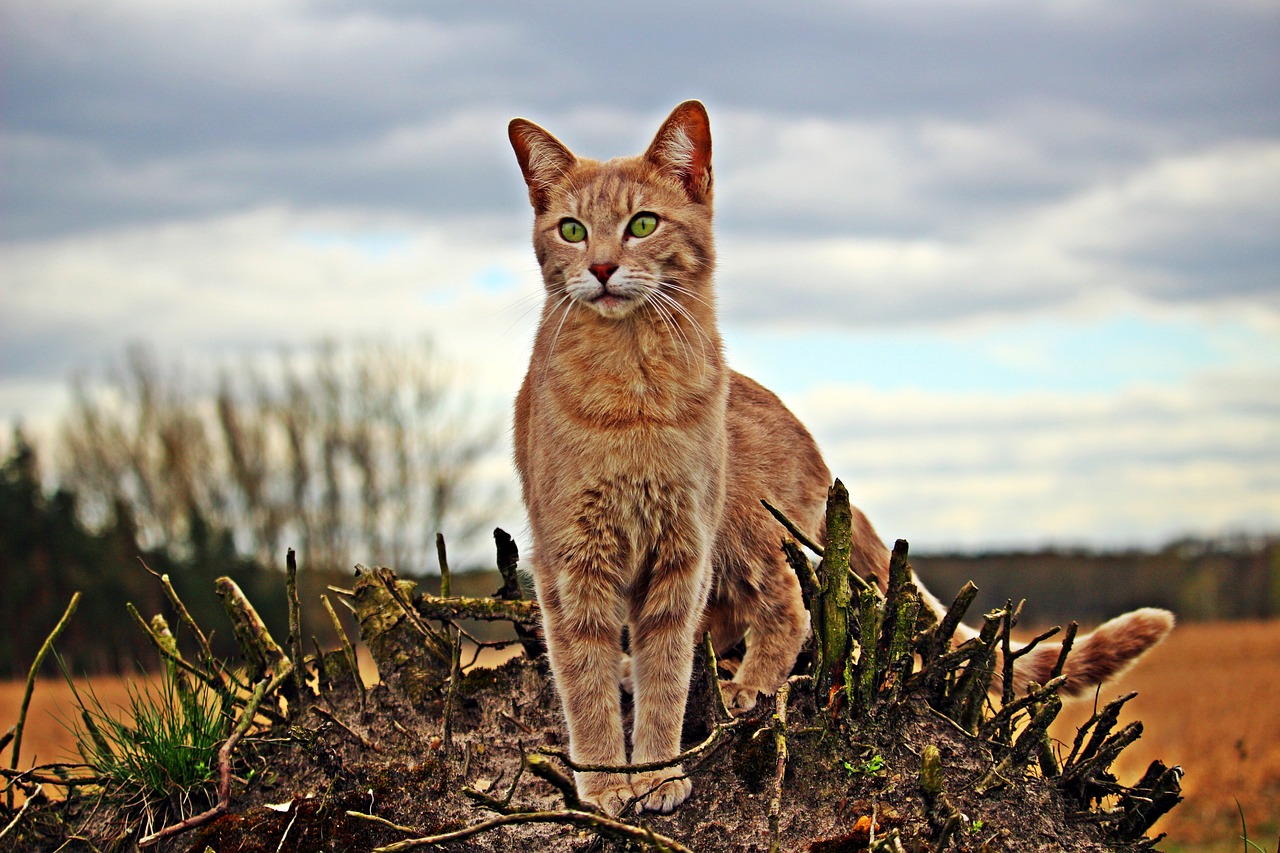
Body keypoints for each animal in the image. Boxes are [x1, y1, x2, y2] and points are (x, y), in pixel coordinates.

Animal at [504, 103, 1172, 814]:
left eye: (642, 224)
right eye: (572, 230)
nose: (601, 267)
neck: (633, 394)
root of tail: (807, 437)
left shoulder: (681, 552)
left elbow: (667, 674)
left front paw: (654, 773)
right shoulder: (570, 562)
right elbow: (587, 682)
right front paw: (606, 778)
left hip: (749, 536)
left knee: (785, 608)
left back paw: (748, 685)